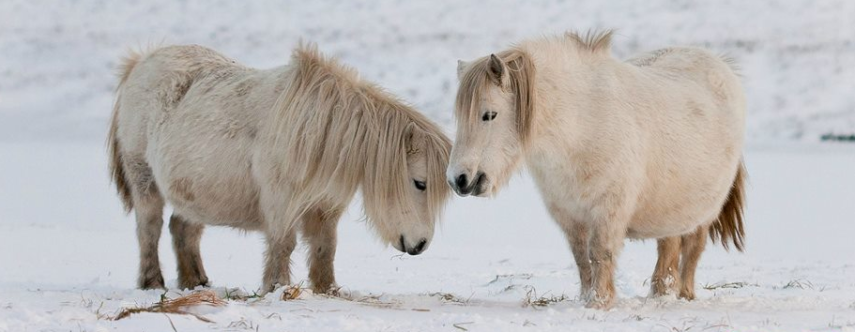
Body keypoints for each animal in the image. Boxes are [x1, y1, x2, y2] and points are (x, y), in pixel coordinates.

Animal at [109, 43, 452, 294]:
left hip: (194, 192)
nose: (420, 245)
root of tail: (140, 63)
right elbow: (283, 245)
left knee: (182, 229)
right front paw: (277, 289)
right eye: (419, 183)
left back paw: (196, 283)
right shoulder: (281, 203)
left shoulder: (325, 206)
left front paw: (327, 290)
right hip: (144, 180)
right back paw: (153, 283)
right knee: (149, 229)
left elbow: (325, 248)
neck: (316, 134)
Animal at [452, 31, 744, 308]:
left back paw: (683, 296)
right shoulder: (568, 215)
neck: (582, 125)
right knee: (668, 249)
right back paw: (661, 295)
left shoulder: (608, 211)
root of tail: (720, 64)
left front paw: (599, 303)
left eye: (489, 115)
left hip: (703, 214)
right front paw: (585, 298)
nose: (459, 180)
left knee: (692, 252)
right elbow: (581, 257)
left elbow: (600, 254)